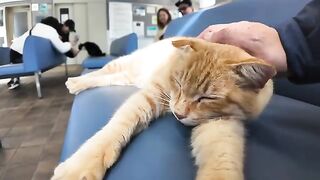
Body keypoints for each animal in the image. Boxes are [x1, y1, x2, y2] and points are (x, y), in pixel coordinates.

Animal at [52, 37, 276, 179]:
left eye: (208, 98)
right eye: (178, 83)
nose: (178, 114)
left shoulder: (223, 123)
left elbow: (223, 156)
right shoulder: (151, 96)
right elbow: (113, 130)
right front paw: (81, 165)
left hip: (128, 77)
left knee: (109, 78)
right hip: (125, 64)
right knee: (102, 72)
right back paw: (76, 82)